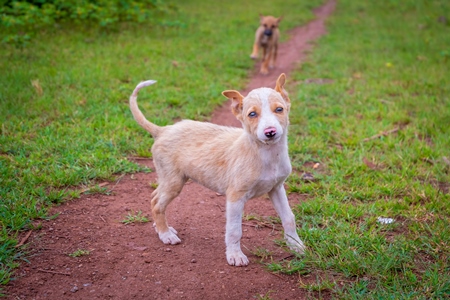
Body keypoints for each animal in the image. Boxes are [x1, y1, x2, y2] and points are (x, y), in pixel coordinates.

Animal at [130, 74, 306, 266]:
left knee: (155, 196)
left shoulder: (276, 188)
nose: (270, 132)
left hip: (170, 180)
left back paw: (161, 227)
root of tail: (163, 130)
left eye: (279, 109)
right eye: (252, 114)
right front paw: (235, 255)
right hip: (173, 181)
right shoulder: (235, 196)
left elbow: (289, 218)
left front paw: (295, 245)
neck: (266, 154)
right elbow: (234, 230)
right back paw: (165, 234)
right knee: (157, 203)